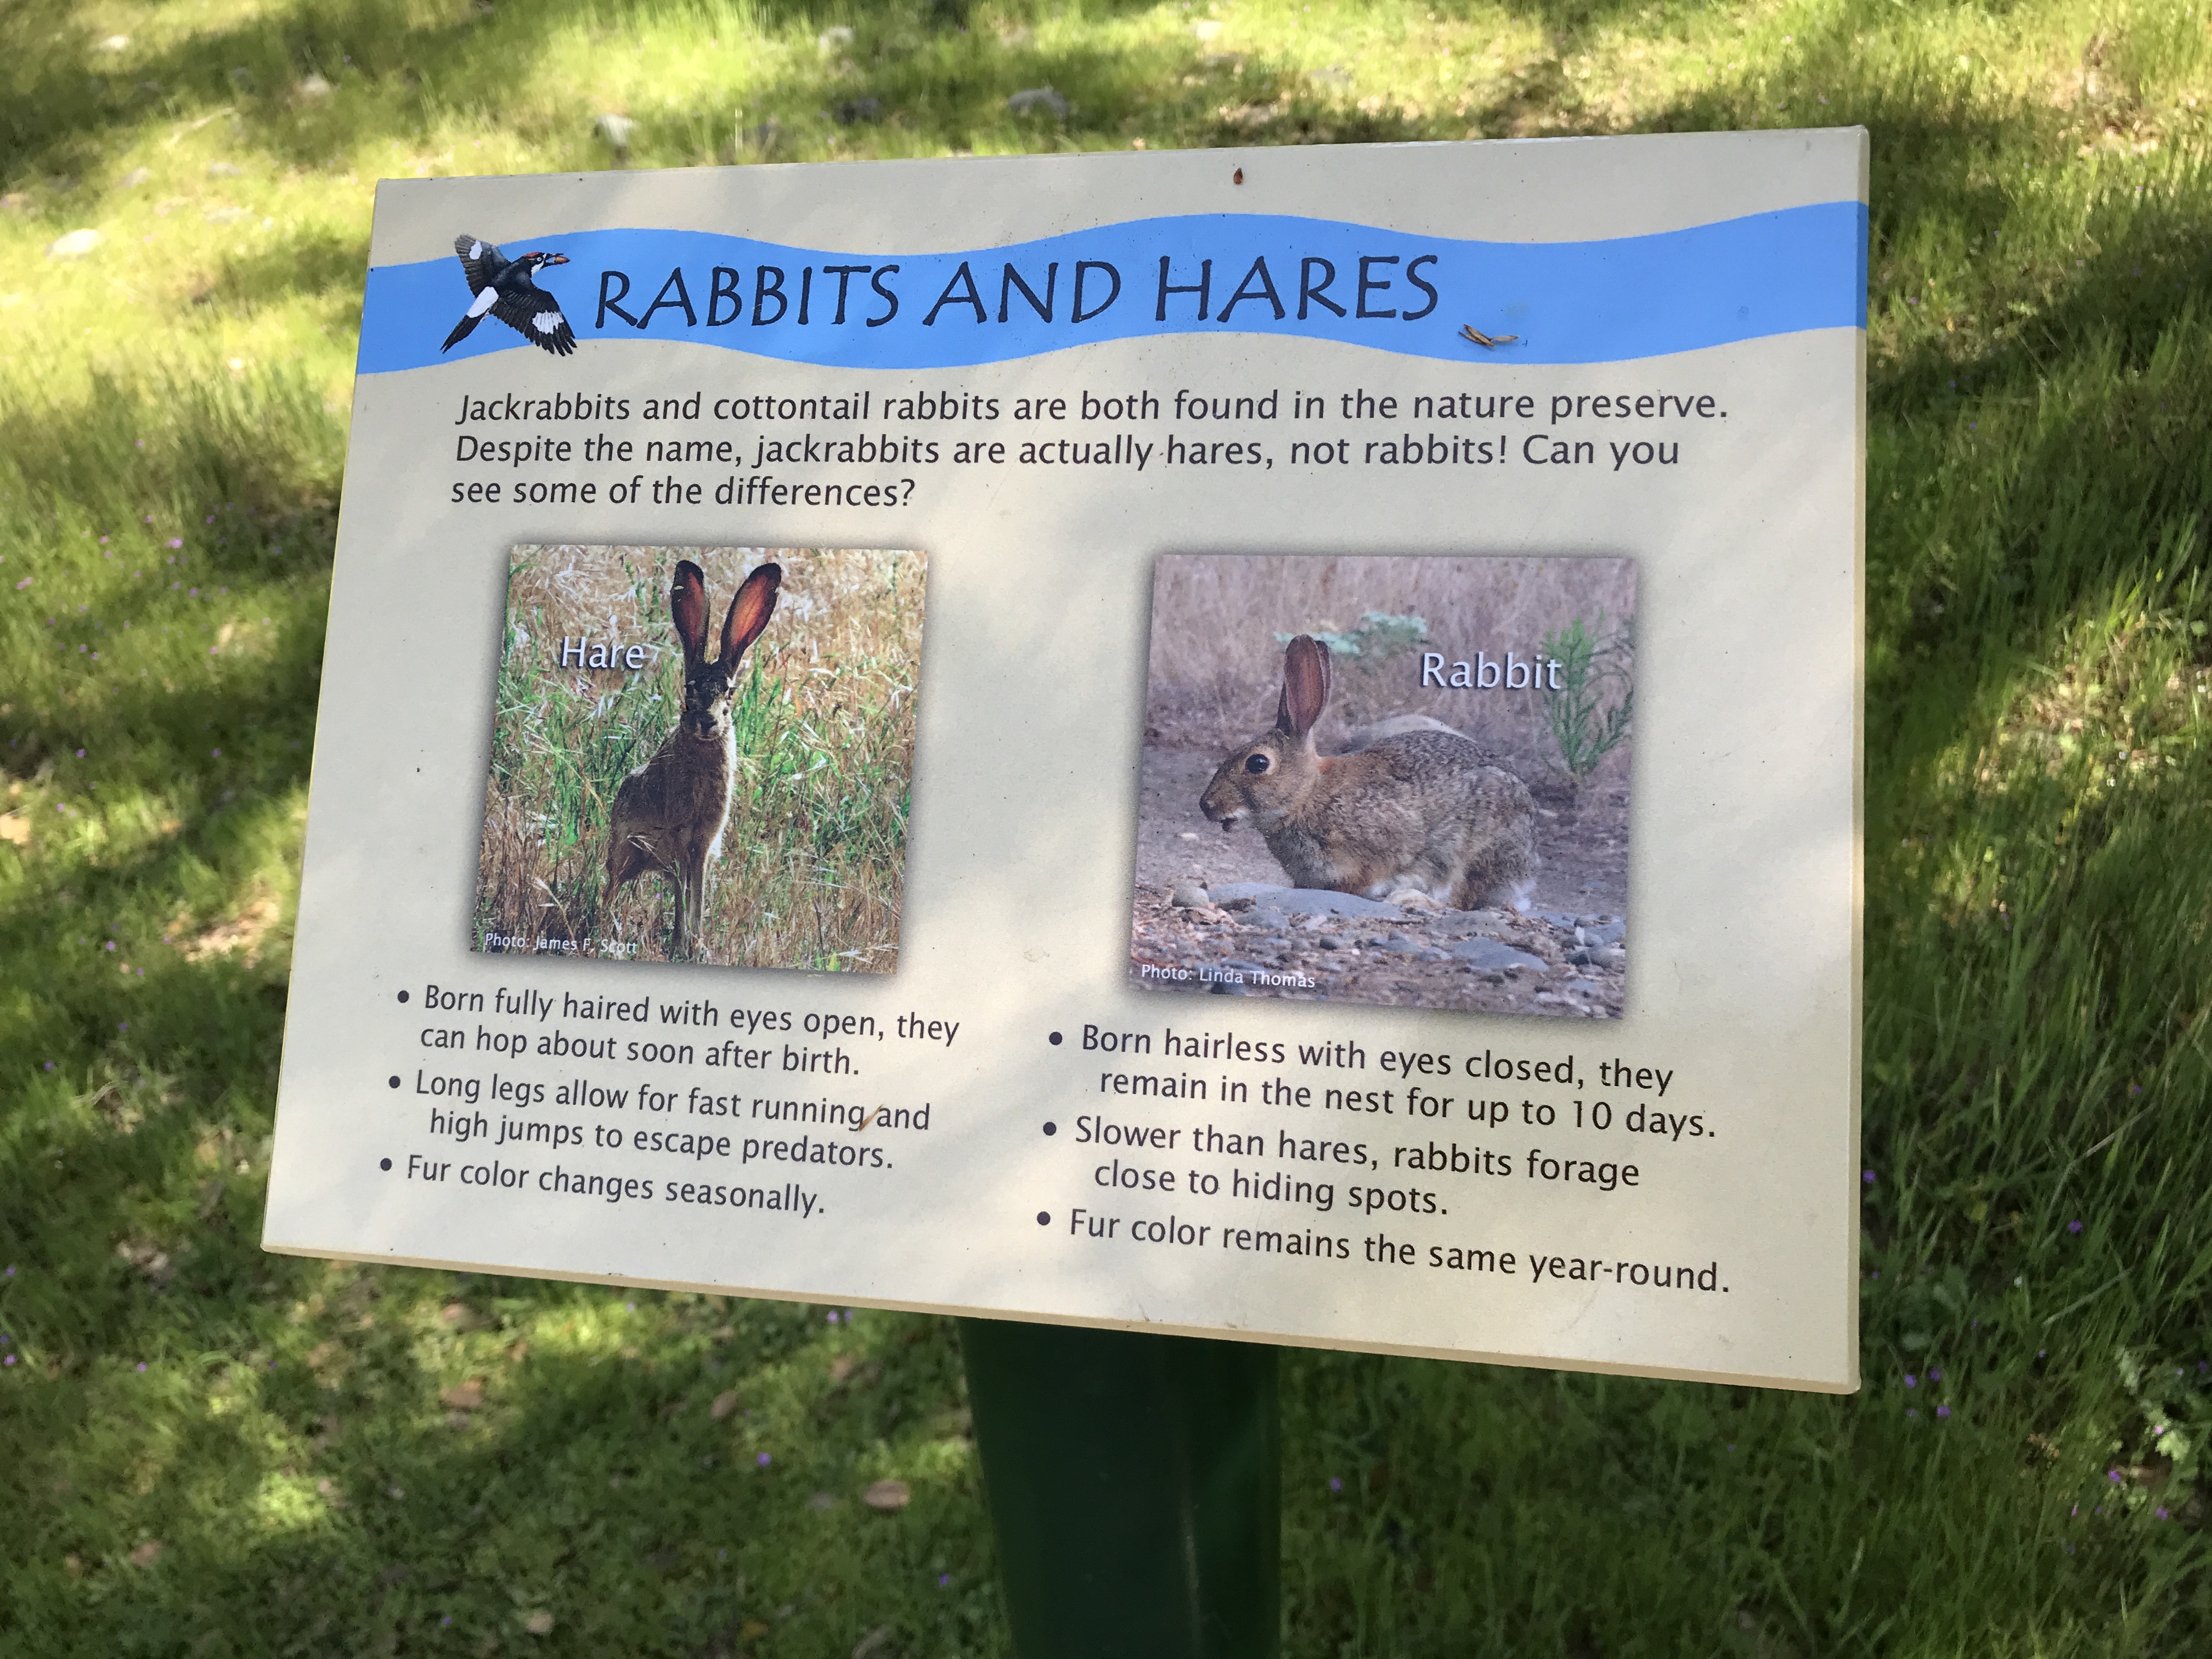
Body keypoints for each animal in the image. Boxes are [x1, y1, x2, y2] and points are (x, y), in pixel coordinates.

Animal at [601, 562, 783, 960]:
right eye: (689, 691)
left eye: (730, 692)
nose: (708, 722)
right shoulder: (682, 838)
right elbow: (687, 895)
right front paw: (687, 944)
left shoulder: (702, 843)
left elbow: (694, 894)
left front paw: (694, 944)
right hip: (626, 851)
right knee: (613, 885)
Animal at [1194, 637, 1539, 916]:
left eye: (1258, 763)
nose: (1206, 805)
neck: (1307, 795)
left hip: (1469, 854)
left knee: (1459, 899)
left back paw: (1411, 900)